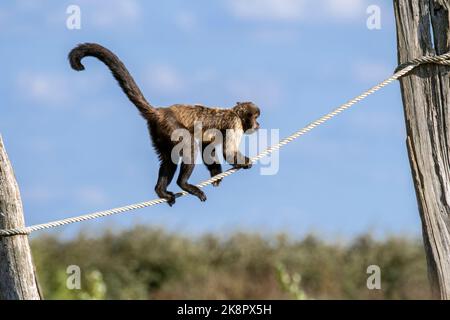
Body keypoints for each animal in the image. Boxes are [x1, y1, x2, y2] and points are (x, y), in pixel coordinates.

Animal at [69, 43, 262, 205]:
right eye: (255, 117)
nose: (258, 125)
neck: (234, 113)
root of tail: (160, 111)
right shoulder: (235, 124)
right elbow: (226, 151)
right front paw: (245, 162)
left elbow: (208, 149)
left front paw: (216, 174)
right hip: (170, 125)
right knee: (188, 145)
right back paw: (183, 184)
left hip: (159, 132)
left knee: (169, 158)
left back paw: (161, 191)